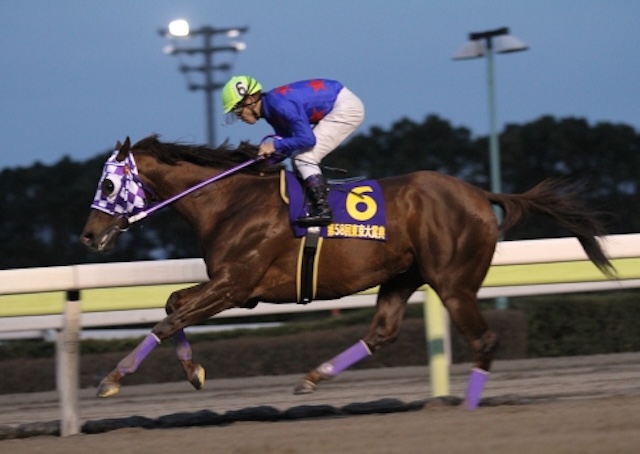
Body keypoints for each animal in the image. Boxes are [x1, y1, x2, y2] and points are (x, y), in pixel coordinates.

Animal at [80, 135, 614, 409]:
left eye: (107, 183)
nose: (88, 236)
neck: (230, 200)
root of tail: (481, 194)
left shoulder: (236, 285)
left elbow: (170, 317)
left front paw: (113, 378)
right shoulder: (235, 288)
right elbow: (173, 306)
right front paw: (194, 372)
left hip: (453, 280)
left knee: (483, 340)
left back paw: (465, 409)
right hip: (403, 275)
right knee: (382, 332)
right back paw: (312, 378)